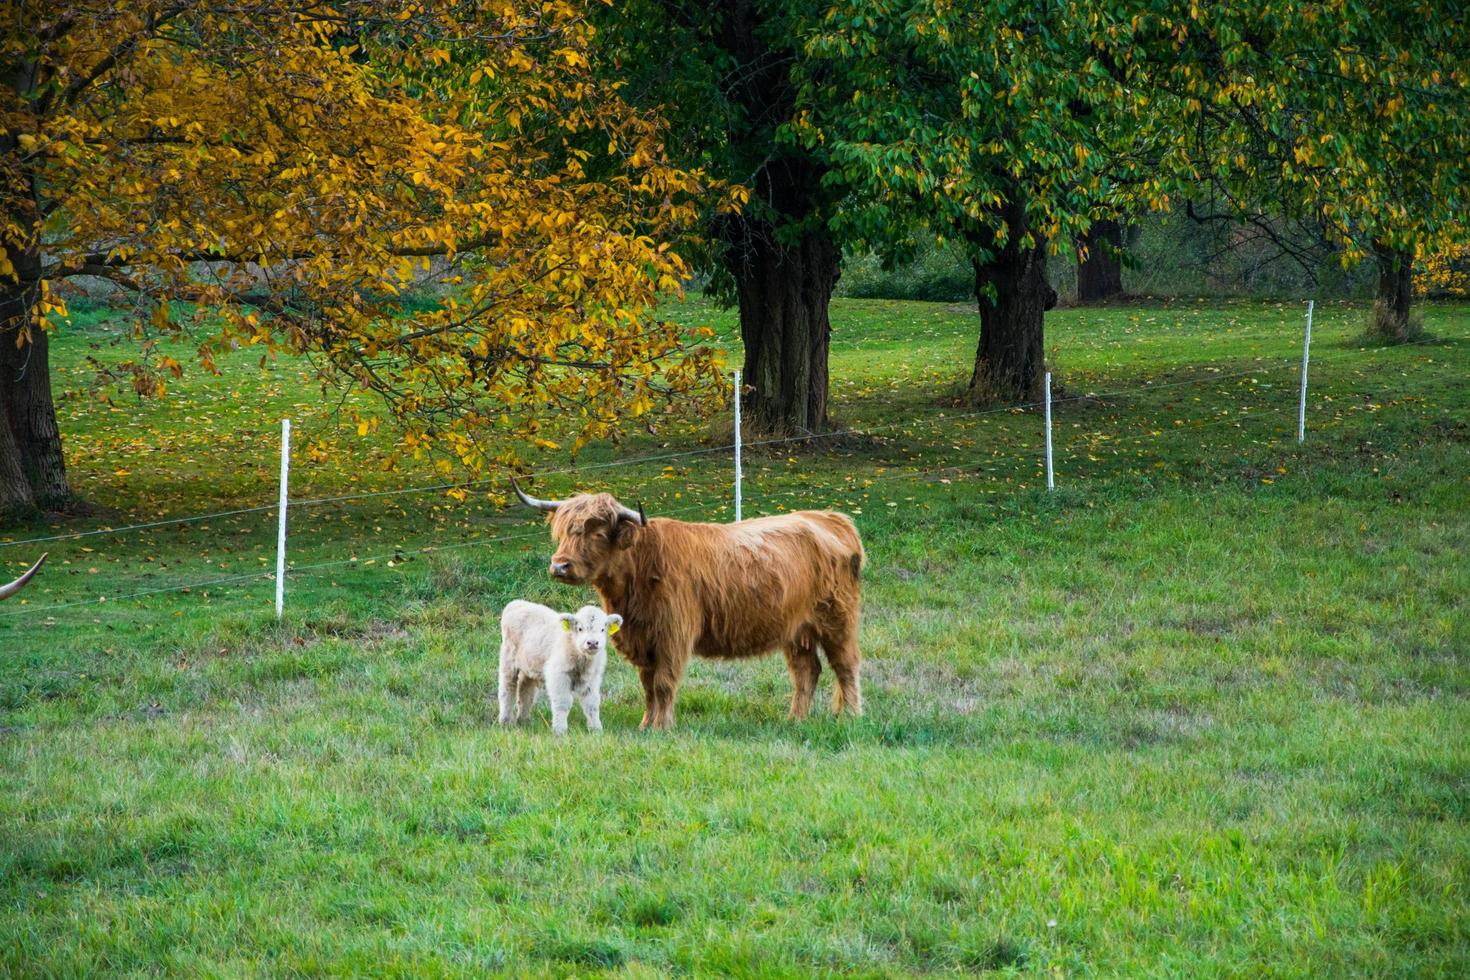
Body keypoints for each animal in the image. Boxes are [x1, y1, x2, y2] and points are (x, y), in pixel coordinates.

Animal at [493, 602, 620, 731]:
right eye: (580, 628)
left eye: (603, 629)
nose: (593, 643)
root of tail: (516, 603)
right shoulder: (558, 674)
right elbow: (563, 703)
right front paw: (560, 730)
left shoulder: (593, 678)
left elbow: (592, 703)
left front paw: (596, 729)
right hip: (508, 659)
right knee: (507, 689)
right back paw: (505, 722)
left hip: (529, 665)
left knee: (526, 691)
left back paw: (524, 721)